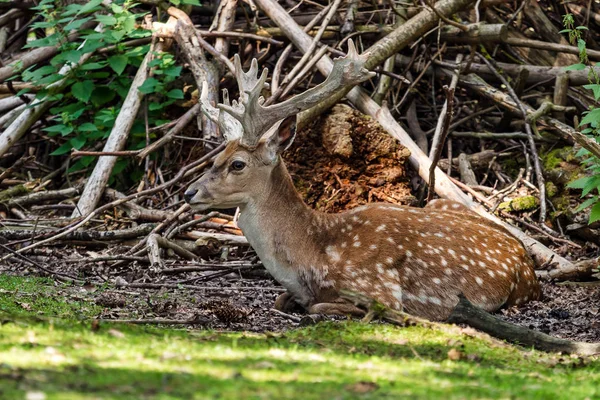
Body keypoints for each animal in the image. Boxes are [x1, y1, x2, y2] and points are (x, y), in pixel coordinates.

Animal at [183, 40, 540, 320]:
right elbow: (281, 299)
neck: (313, 257)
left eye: (238, 164)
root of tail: (526, 261)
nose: (189, 192)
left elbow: (321, 306)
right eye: (216, 156)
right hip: (440, 201)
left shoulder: (379, 288)